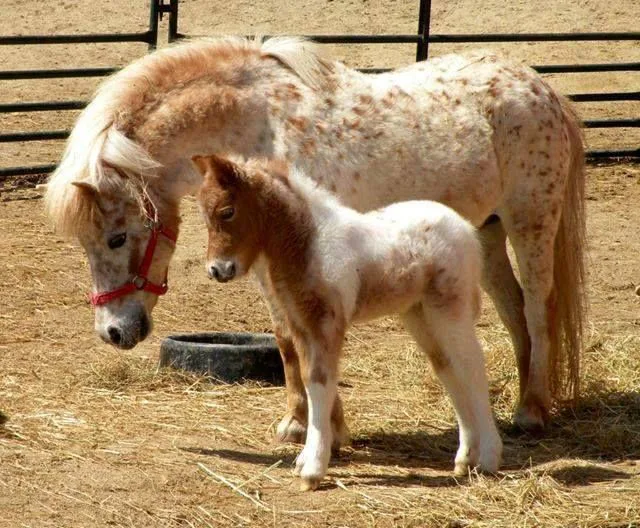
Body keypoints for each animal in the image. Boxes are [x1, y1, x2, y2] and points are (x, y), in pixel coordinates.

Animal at [44, 36, 586, 434]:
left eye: (117, 238)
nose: (113, 332)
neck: (258, 129)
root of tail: (542, 88)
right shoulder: (263, 262)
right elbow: (286, 338)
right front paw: (296, 423)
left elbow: (311, 338)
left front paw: (328, 427)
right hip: (489, 233)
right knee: (514, 313)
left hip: (530, 223)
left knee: (537, 309)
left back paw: (531, 411)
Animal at [193, 153, 503, 489]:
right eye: (204, 216)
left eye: (227, 211)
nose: (217, 270)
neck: (308, 243)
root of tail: (465, 228)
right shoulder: (301, 325)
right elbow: (308, 380)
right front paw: (305, 459)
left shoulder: (326, 324)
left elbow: (320, 383)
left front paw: (314, 468)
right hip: (420, 314)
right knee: (448, 369)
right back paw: (464, 458)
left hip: (449, 310)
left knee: (472, 367)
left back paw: (488, 457)